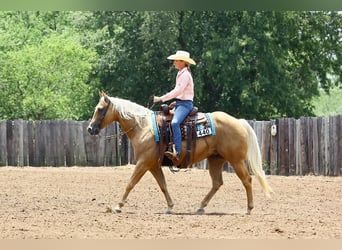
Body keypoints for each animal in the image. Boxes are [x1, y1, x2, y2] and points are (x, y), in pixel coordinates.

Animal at [87, 92, 272, 215]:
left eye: (100, 109)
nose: (90, 129)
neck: (143, 127)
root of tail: (239, 122)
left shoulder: (143, 162)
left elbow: (130, 183)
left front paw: (118, 206)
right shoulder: (153, 165)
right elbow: (163, 185)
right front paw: (169, 206)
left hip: (236, 160)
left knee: (247, 180)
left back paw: (249, 209)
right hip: (215, 160)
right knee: (217, 183)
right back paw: (201, 206)